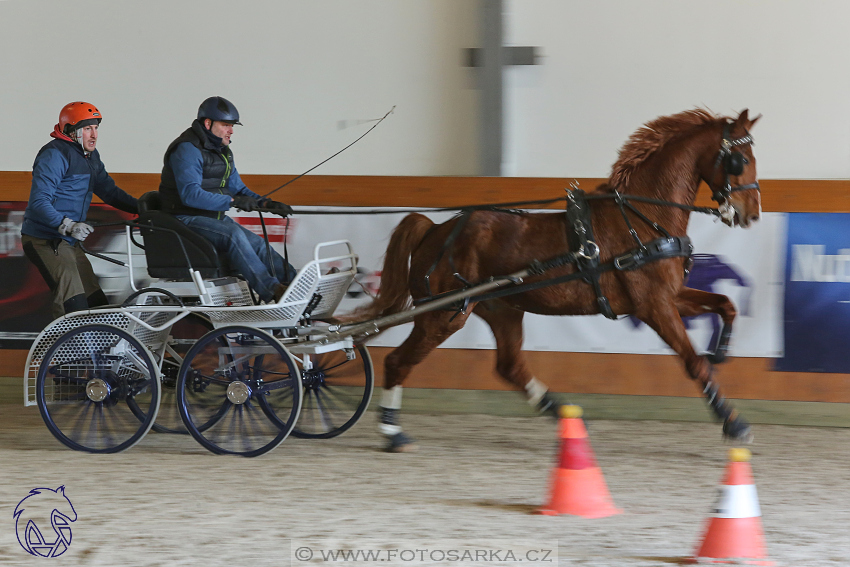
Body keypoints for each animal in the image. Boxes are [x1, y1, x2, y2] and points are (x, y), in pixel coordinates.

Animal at [352, 107, 756, 452]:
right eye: (742, 159)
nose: (751, 213)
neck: (643, 218)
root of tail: (435, 230)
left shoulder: (669, 296)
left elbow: (725, 305)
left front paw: (722, 350)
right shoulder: (653, 305)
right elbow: (693, 362)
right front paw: (734, 423)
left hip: (501, 309)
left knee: (510, 366)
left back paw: (565, 417)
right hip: (445, 313)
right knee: (398, 362)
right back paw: (392, 431)